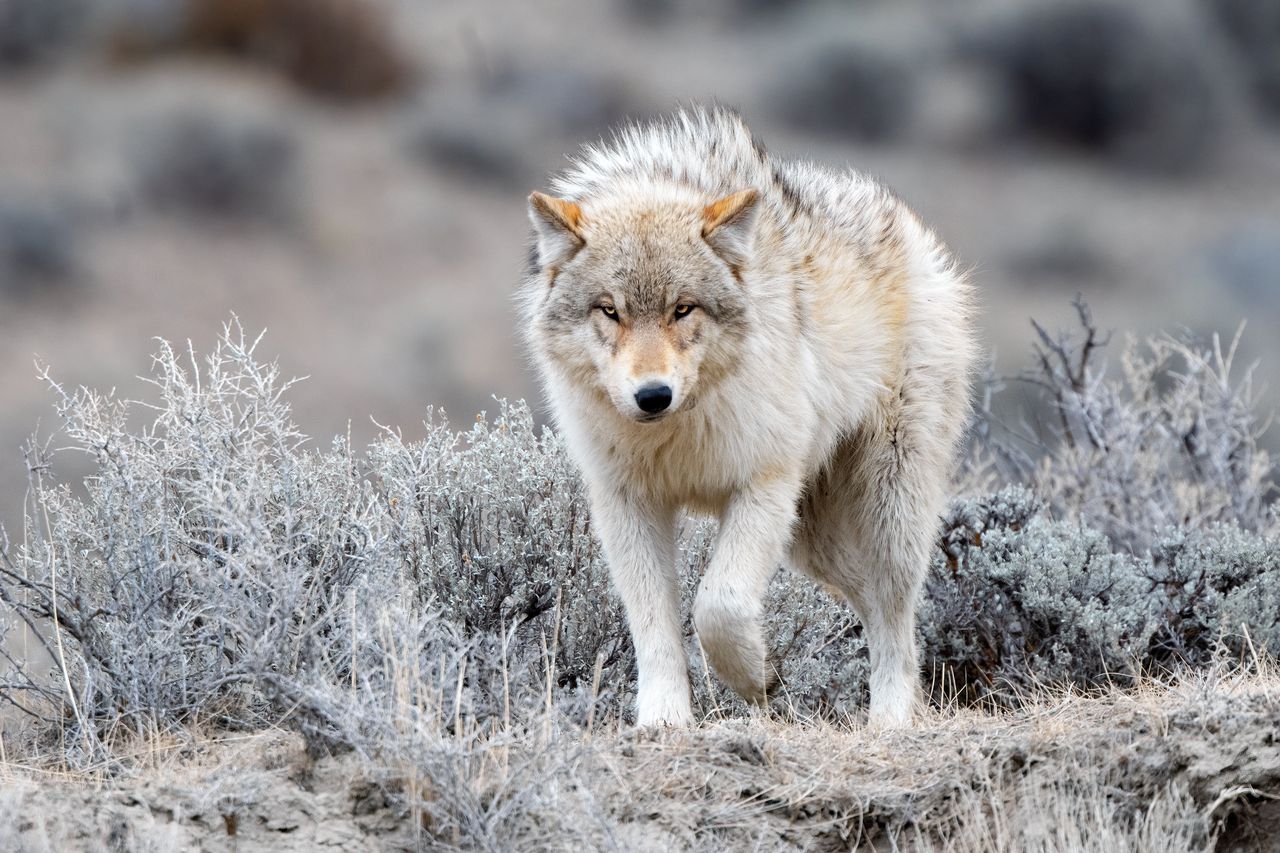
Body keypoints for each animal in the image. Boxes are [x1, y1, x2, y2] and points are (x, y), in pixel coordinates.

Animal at [514, 106, 972, 722]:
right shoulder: (627, 504)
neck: (678, 434)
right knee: (867, 602)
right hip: (813, 541)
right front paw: (664, 718)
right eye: (609, 311)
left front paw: (754, 677)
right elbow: (654, 626)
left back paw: (893, 718)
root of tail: (910, 224)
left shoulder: (764, 484)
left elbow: (719, 605)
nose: (652, 395)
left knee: (895, 615)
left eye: (683, 309)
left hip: (886, 513)